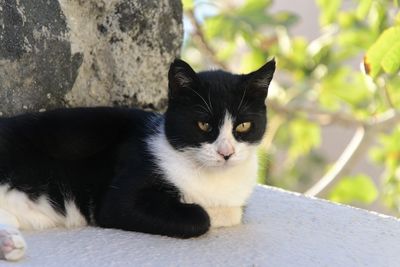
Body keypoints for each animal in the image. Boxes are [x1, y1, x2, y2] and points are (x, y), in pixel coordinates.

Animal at [0, 58, 276, 262]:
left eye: (243, 126)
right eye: (204, 125)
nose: (226, 153)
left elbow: (236, 211)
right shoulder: (118, 199)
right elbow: (204, 216)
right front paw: (207, 209)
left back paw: (9, 243)